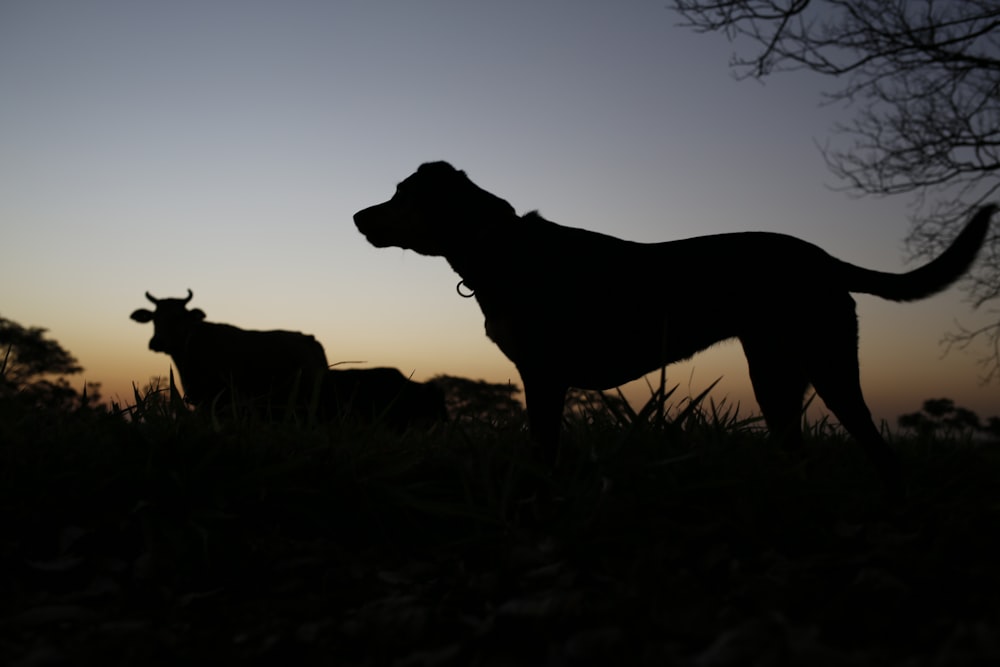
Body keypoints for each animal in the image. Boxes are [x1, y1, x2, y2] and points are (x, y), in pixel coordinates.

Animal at [354, 162, 992, 486]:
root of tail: (824, 259)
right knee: (799, 447)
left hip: (826, 364)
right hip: (777, 374)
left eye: (402, 193)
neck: (499, 247)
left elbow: (544, 446)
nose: (357, 216)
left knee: (874, 445)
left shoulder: (545, 376)